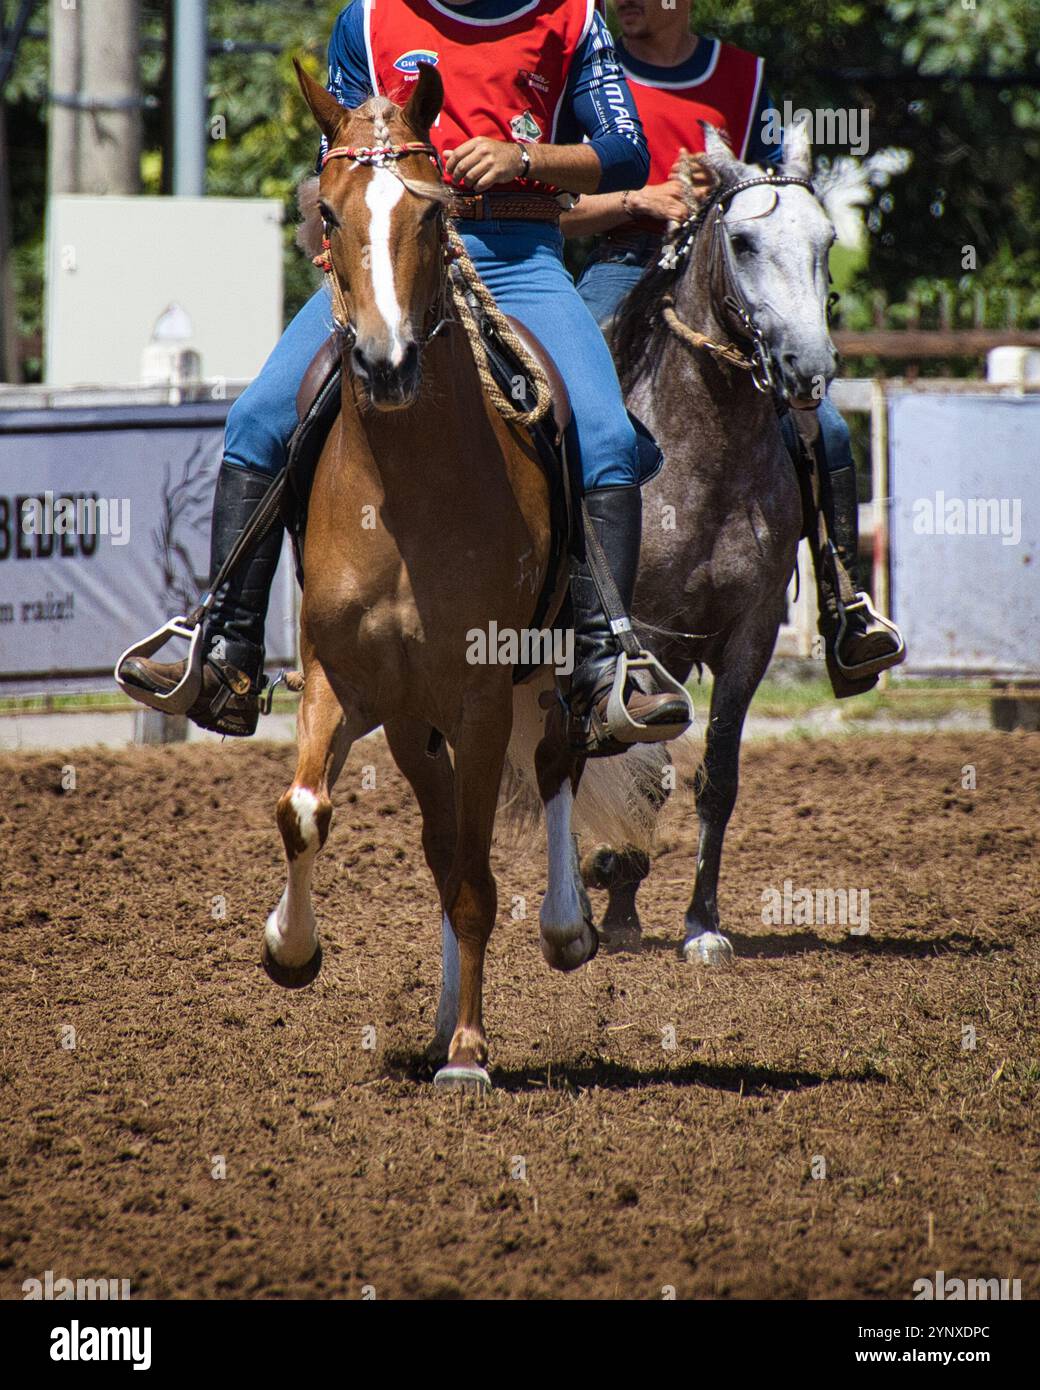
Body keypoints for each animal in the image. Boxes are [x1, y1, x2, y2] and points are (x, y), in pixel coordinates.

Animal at [266, 62, 598, 1090]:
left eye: (434, 210)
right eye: (328, 215)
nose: (386, 363)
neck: (408, 506)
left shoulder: (484, 698)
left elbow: (480, 881)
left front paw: (469, 1055)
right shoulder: (343, 679)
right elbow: (305, 811)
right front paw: (290, 947)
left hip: (541, 672)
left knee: (557, 760)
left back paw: (564, 931)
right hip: (415, 726)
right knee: (443, 840)